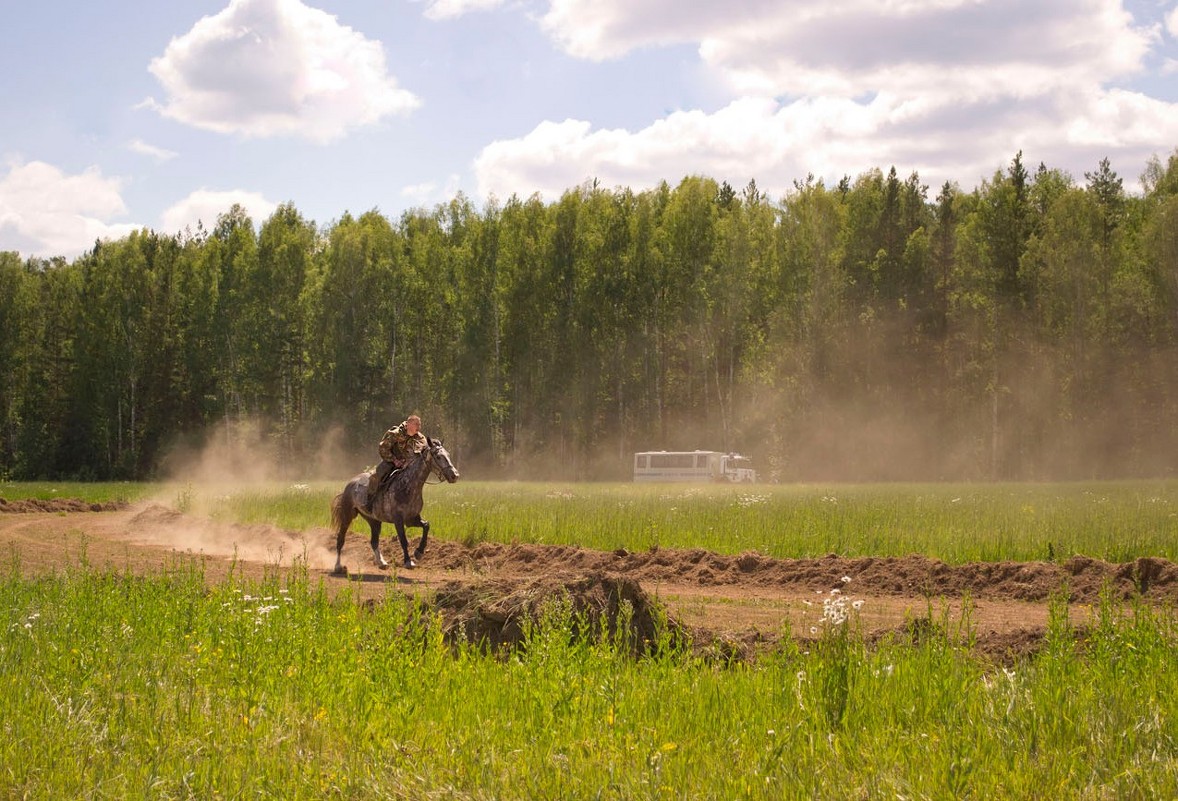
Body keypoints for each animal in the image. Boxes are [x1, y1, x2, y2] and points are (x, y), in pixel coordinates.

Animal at [334, 435, 461, 572]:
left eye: (448, 454)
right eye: (438, 456)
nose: (455, 476)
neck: (408, 485)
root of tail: (350, 484)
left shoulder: (411, 519)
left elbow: (426, 525)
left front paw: (419, 552)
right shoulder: (398, 520)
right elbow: (403, 540)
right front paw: (408, 561)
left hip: (373, 520)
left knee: (374, 541)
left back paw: (381, 562)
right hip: (347, 516)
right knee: (340, 539)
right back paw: (338, 566)